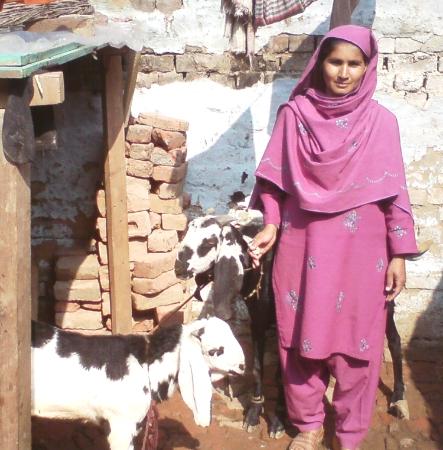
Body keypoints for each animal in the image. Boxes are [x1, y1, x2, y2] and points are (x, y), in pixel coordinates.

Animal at [175, 214, 414, 438]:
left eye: (208, 242)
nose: (178, 267)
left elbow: (284, 373)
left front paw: (279, 419)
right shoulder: (258, 321)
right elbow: (257, 367)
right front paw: (254, 413)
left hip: (386, 298)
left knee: (393, 341)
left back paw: (398, 398)